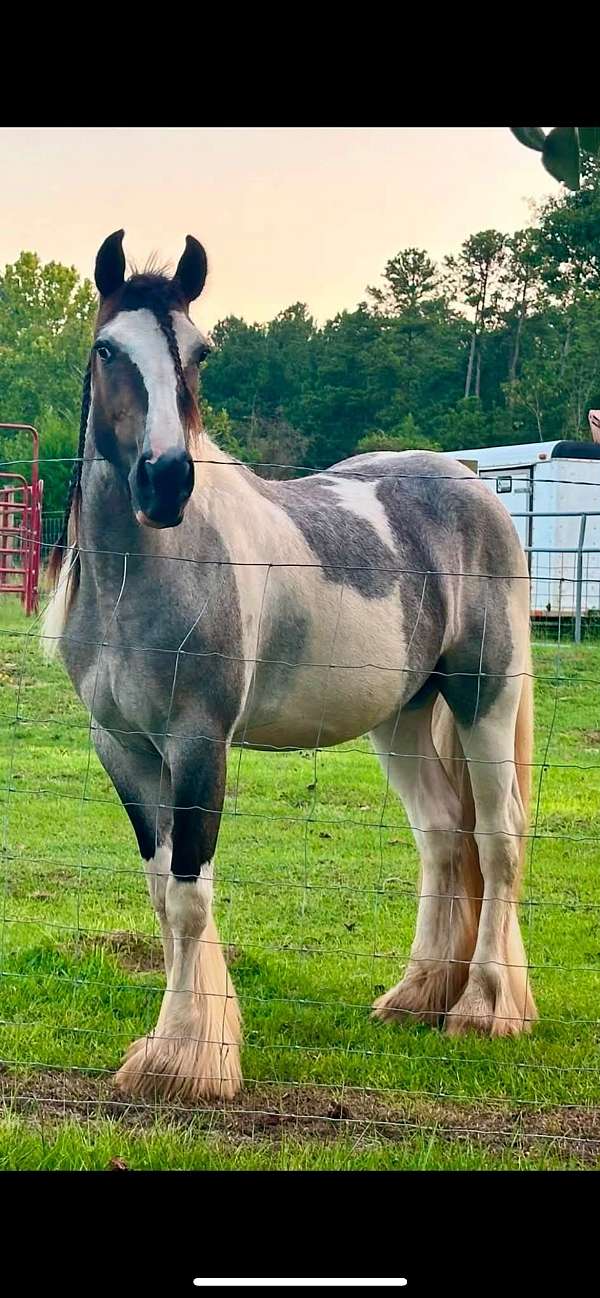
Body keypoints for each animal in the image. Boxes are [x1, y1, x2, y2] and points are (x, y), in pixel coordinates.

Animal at [42, 230, 537, 1103]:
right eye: (108, 349)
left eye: (199, 352)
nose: (166, 480)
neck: (144, 571)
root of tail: (472, 488)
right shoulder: (121, 749)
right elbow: (159, 892)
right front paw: (173, 1045)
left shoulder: (197, 744)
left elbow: (189, 897)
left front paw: (185, 1061)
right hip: (402, 718)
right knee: (444, 834)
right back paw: (416, 996)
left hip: (486, 698)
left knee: (499, 837)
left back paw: (482, 1009)